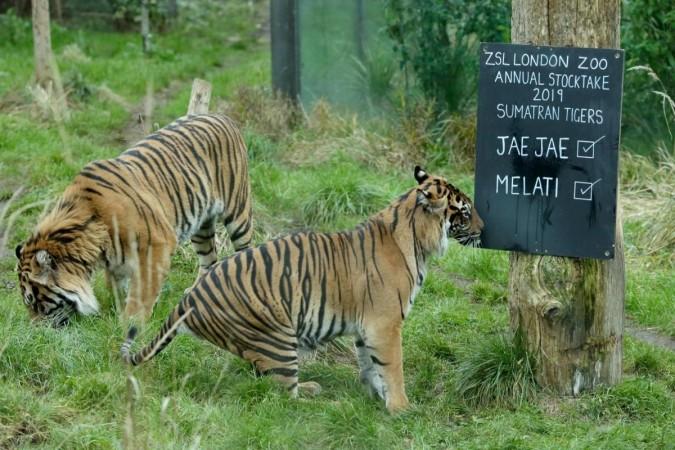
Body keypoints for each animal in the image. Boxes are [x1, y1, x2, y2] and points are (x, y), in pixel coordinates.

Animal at [15, 114, 252, 327]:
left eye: (33, 300)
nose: (34, 331)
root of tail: (221, 117)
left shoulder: (157, 244)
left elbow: (143, 290)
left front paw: (131, 322)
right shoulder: (116, 262)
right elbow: (119, 288)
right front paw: (119, 311)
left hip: (237, 211)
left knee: (245, 249)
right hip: (202, 226)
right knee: (208, 258)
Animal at [120, 166, 483, 413]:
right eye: (464, 211)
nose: (484, 229)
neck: (416, 237)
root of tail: (190, 298)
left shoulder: (368, 326)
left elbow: (369, 363)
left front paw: (374, 395)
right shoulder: (385, 324)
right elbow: (392, 367)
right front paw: (401, 407)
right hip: (278, 335)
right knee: (282, 396)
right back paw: (323, 398)